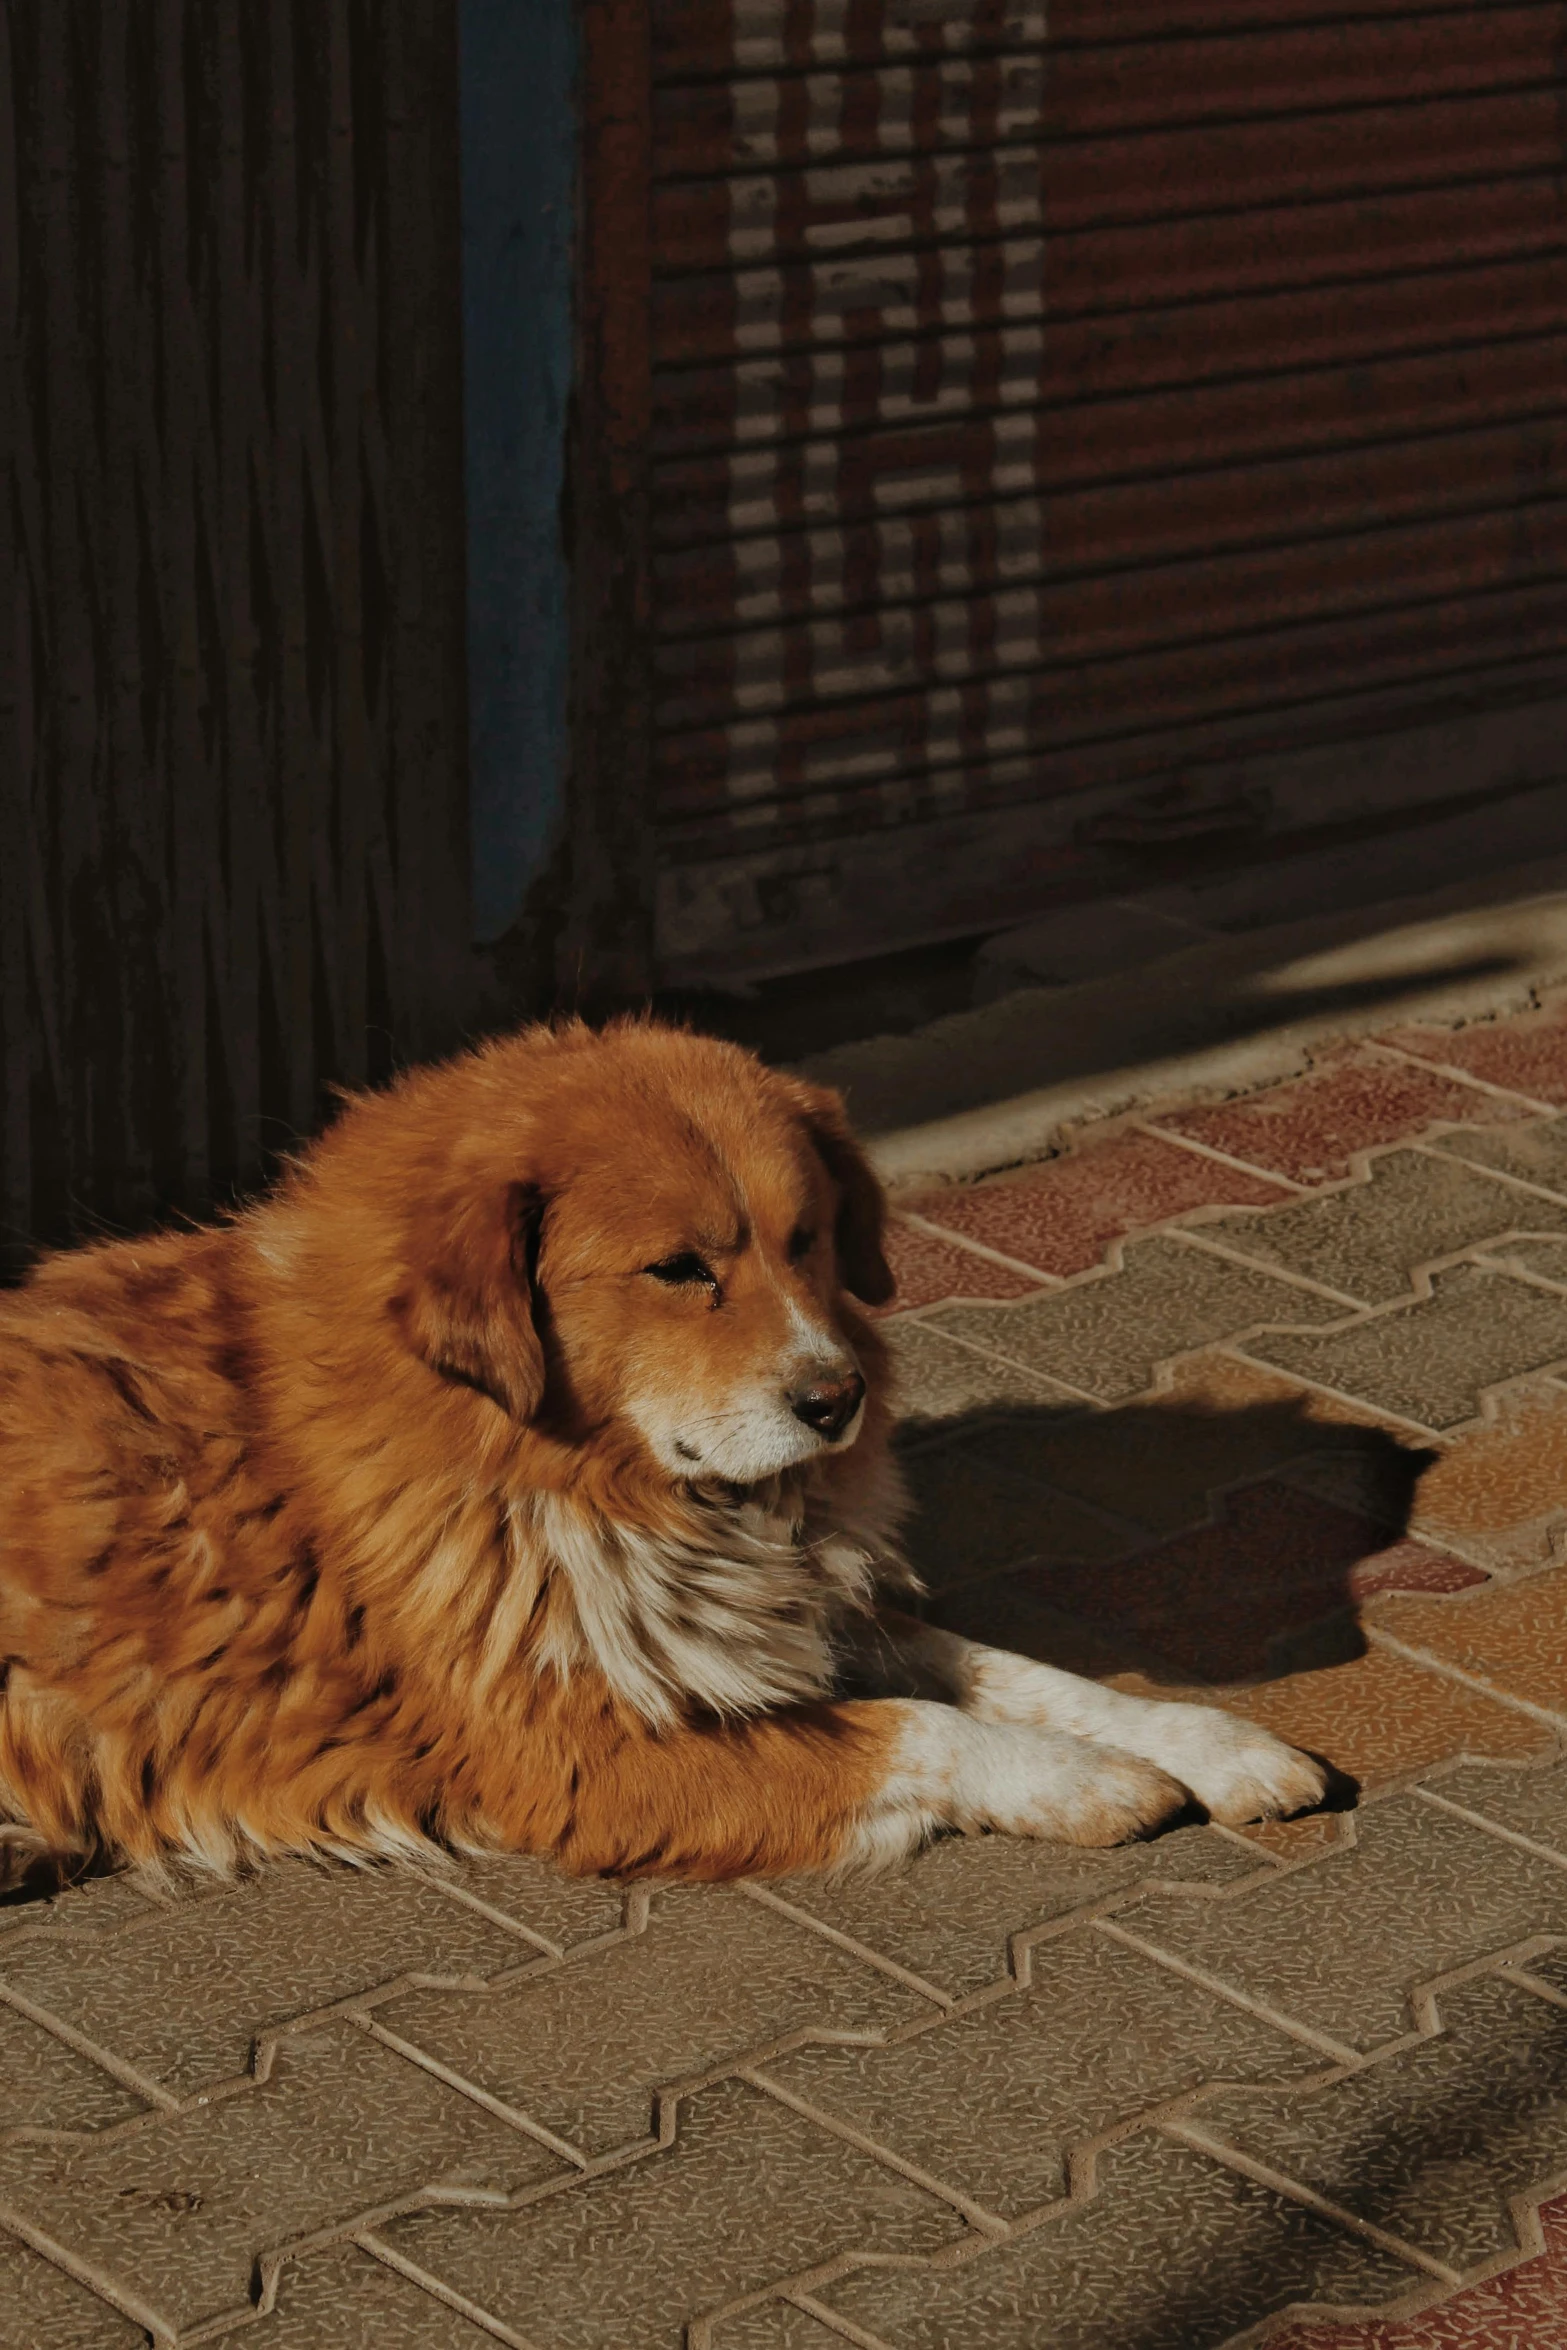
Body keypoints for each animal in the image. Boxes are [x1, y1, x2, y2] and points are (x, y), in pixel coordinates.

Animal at [0, 1019, 1334, 1879]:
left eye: (808, 1239)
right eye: (681, 1269)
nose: (838, 1398)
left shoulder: (778, 1617)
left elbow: (1015, 1669)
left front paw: (1209, 1740)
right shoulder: (575, 1750)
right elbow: (916, 1724)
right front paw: (1082, 1779)